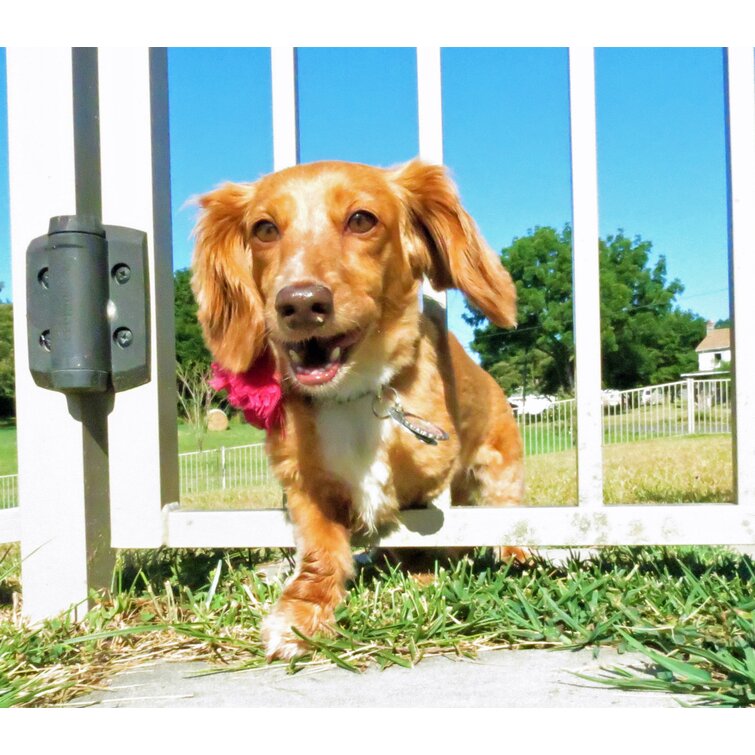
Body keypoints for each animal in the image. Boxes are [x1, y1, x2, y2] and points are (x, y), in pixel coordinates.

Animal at [192, 161, 524, 660]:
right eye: (264, 229)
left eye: (362, 220)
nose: (301, 304)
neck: (353, 395)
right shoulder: (304, 485)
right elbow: (320, 551)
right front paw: (303, 611)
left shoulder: (430, 484)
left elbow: (424, 535)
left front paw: (421, 572)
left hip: (499, 468)